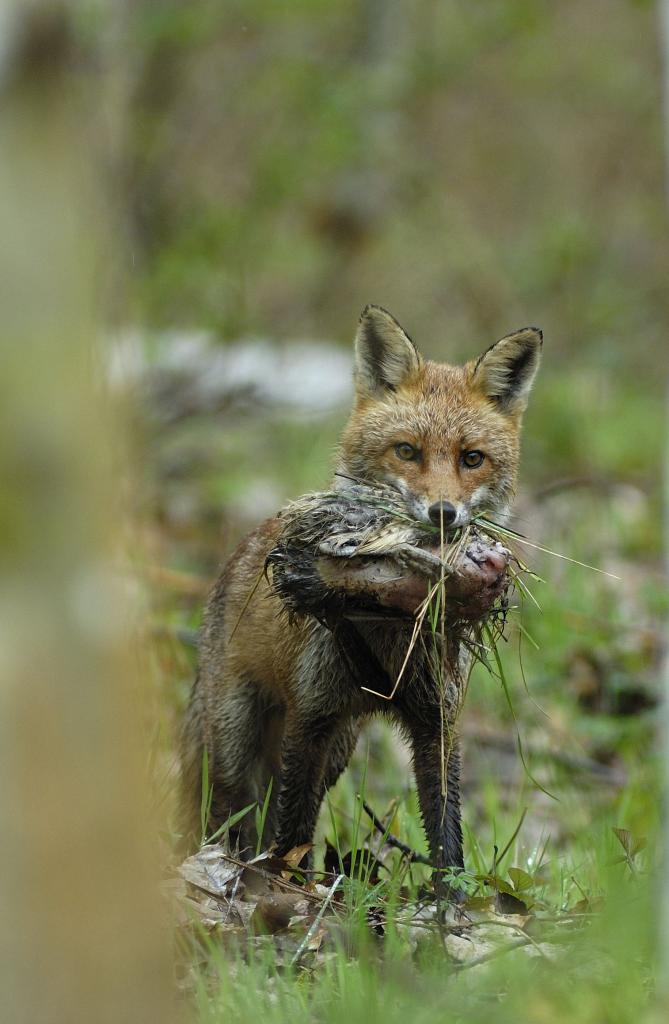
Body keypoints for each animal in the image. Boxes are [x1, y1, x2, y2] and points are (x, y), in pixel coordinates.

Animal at [180, 301, 540, 872]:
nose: (443, 514)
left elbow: (446, 833)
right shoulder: (311, 714)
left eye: (472, 458)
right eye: (407, 452)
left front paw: (449, 896)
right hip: (237, 743)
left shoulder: (436, 720)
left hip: (340, 749)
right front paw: (286, 884)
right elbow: (293, 829)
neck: (390, 630)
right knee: (236, 816)